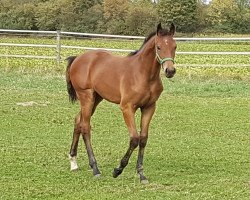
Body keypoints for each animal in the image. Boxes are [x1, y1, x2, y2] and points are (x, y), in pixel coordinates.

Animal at [65, 22, 177, 184]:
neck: (143, 74)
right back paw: (95, 169)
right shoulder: (127, 108)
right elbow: (135, 138)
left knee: (78, 121)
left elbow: (143, 138)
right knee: (85, 127)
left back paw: (73, 162)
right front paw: (118, 170)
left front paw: (141, 174)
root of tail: (78, 58)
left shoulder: (149, 107)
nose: (170, 71)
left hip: (96, 98)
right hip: (86, 97)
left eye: (175, 46)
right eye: (158, 47)